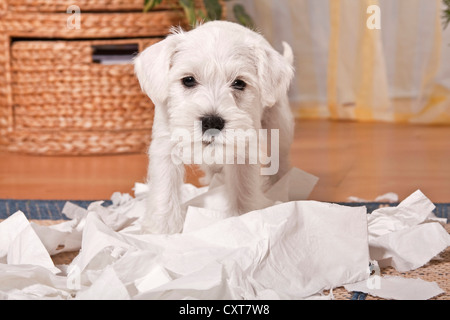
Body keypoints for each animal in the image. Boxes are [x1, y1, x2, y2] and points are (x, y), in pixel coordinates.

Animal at [134, 20, 296, 235]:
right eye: (188, 80)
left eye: (239, 83)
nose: (212, 122)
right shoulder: (165, 147)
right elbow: (165, 189)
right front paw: (162, 230)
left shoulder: (245, 150)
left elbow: (244, 188)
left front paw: (244, 218)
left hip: (279, 127)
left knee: (281, 160)